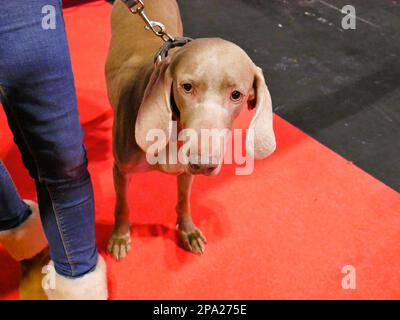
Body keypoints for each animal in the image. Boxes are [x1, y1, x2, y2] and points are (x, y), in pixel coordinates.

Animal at [104, 0, 276, 260]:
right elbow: (122, 205)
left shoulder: (185, 172)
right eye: (186, 87)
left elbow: (184, 200)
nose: (203, 162)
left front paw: (187, 231)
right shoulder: (122, 170)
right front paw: (120, 236)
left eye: (236, 94)